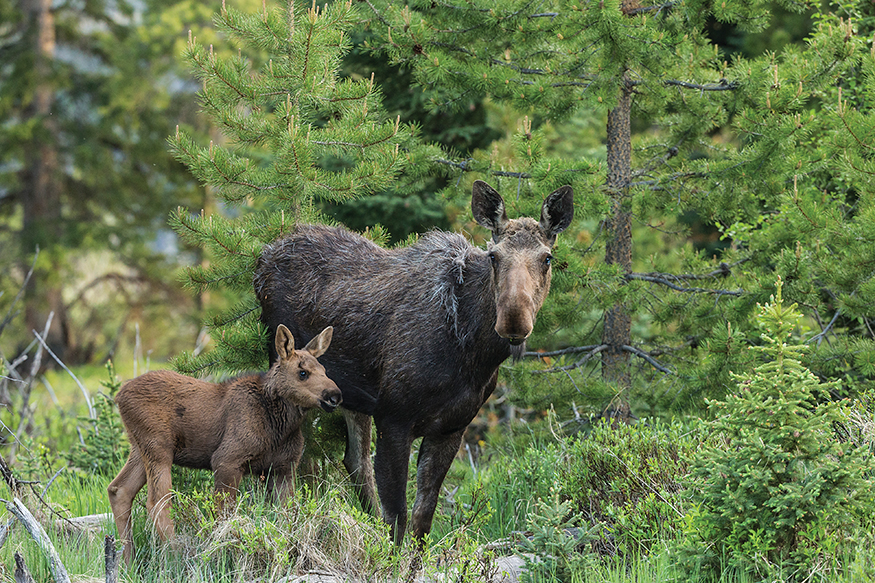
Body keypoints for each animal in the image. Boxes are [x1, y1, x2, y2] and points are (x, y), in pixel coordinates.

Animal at [108, 326, 340, 564]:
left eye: (324, 370)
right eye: (302, 372)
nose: (334, 396)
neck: (279, 427)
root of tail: (118, 396)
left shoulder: (283, 468)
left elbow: (286, 515)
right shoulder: (226, 459)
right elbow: (225, 514)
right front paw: (223, 554)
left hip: (139, 448)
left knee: (119, 489)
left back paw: (128, 562)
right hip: (158, 446)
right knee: (157, 502)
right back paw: (175, 558)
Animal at [255, 180, 576, 544]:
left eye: (547, 257)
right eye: (494, 255)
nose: (513, 321)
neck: (471, 351)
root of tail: (264, 257)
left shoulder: (451, 429)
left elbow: (422, 519)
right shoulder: (395, 419)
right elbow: (398, 517)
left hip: (350, 393)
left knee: (354, 460)